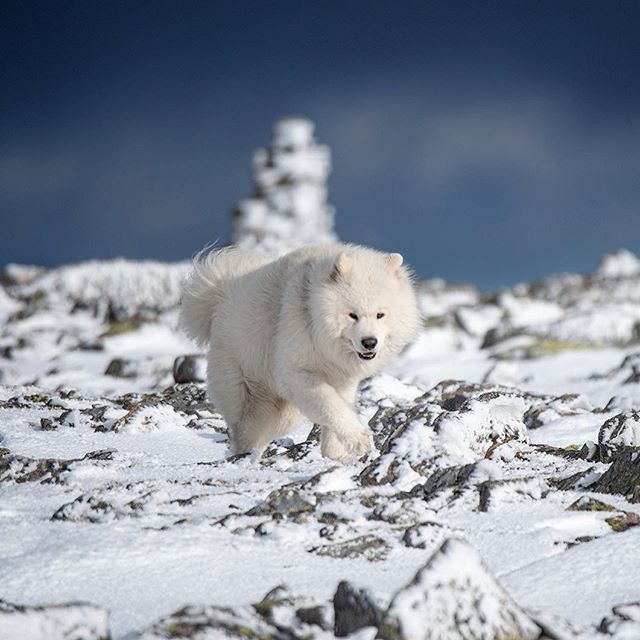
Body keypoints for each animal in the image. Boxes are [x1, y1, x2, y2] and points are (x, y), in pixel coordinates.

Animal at [180, 245, 420, 460]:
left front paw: (336, 454)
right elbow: (330, 404)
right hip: (246, 387)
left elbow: (338, 408)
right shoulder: (297, 371)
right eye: (352, 315)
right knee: (246, 430)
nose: (369, 342)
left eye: (380, 314)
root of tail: (218, 295)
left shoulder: (343, 379)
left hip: (284, 412)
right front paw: (358, 439)